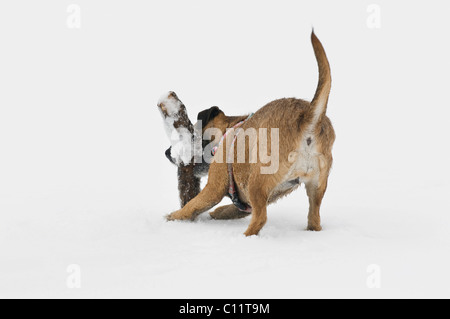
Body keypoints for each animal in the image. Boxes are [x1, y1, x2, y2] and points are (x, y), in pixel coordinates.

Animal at [165, 31, 334, 238]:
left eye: (190, 134)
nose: (167, 152)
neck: (228, 131)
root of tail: (307, 118)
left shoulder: (214, 188)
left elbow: (192, 205)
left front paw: (173, 216)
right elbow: (231, 209)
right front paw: (218, 212)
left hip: (257, 180)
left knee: (261, 218)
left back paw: (246, 237)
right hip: (316, 188)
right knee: (314, 219)